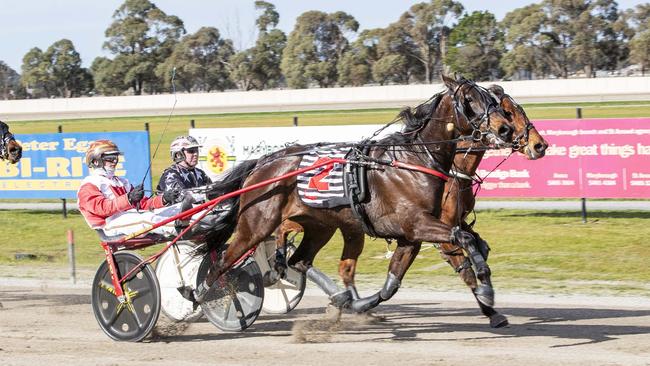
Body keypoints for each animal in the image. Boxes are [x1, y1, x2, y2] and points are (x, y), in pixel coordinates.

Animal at [192, 75, 516, 306]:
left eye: (491, 99)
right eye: (469, 99)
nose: (505, 129)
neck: (414, 159)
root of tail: (263, 162)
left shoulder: (411, 234)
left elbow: (394, 282)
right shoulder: (415, 223)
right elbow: (464, 237)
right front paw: (484, 284)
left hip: (319, 225)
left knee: (299, 261)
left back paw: (339, 295)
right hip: (256, 225)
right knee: (222, 263)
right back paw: (204, 298)